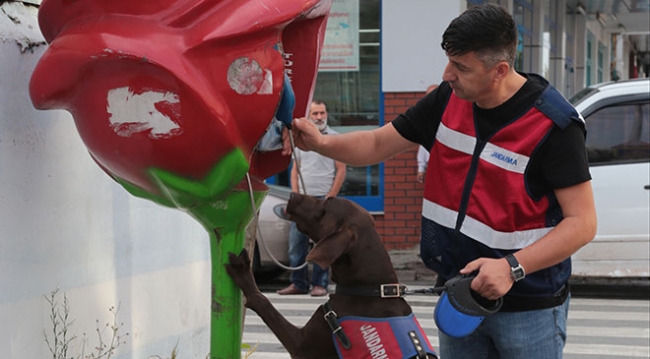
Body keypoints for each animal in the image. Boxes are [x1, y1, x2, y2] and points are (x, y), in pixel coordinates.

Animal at [224, 194, 436, 359]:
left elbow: (263, 301)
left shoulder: (302, 345)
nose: (292, 194)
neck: (370, 290)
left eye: (325, 205)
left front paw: (243, 273)